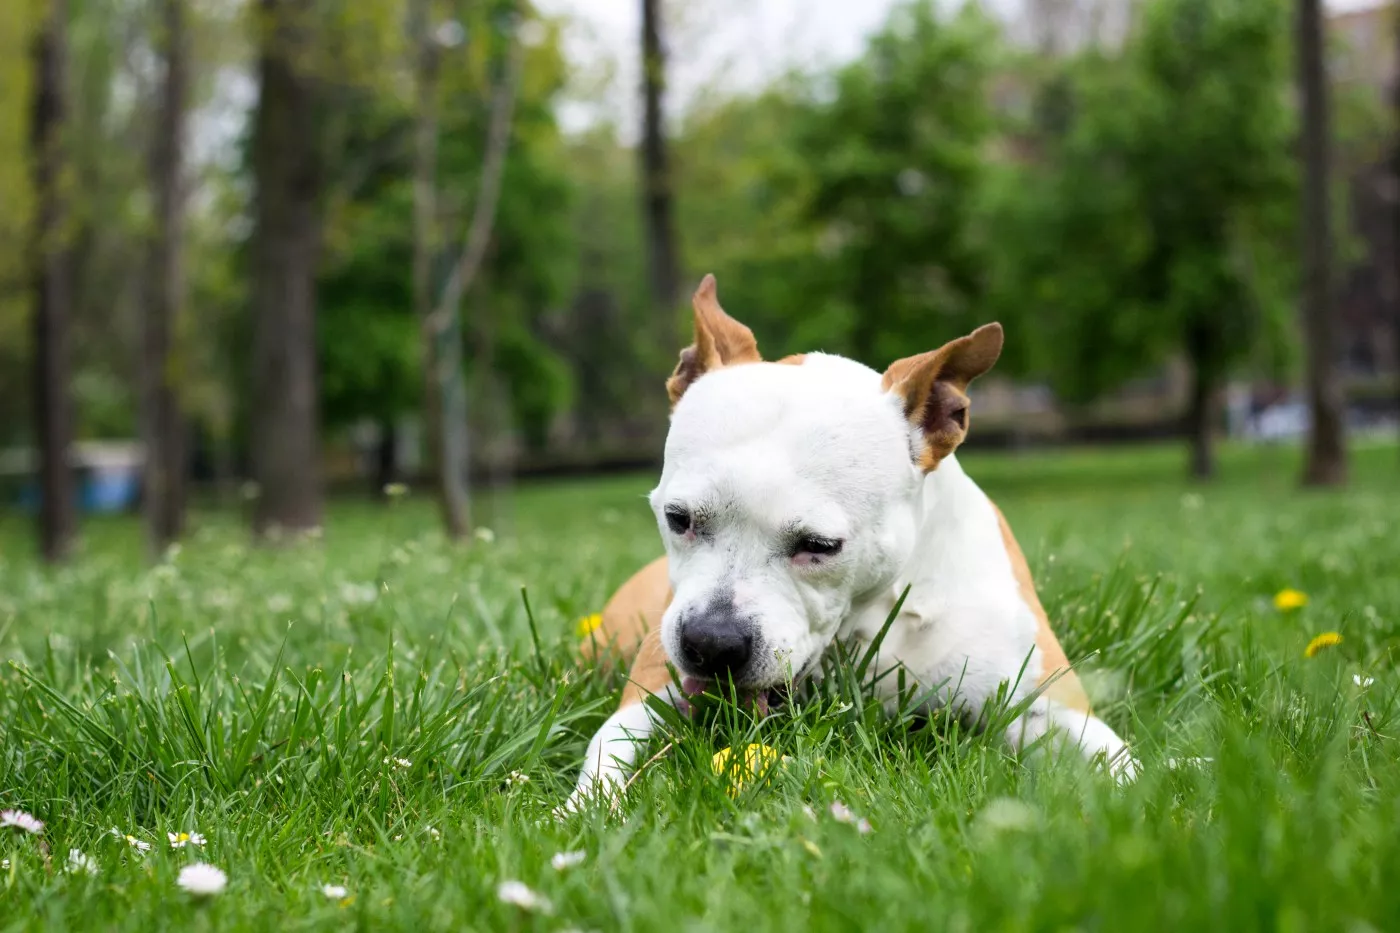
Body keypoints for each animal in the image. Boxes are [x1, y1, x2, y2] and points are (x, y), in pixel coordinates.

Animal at [571, 274, 1136, 806]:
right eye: (679, 518)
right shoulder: (647, 699)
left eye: (820, 546)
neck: (871, 615)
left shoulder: (1051, 707)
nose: (710, 643)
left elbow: (1126, 770)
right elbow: (604, 757)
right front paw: (577, 813)